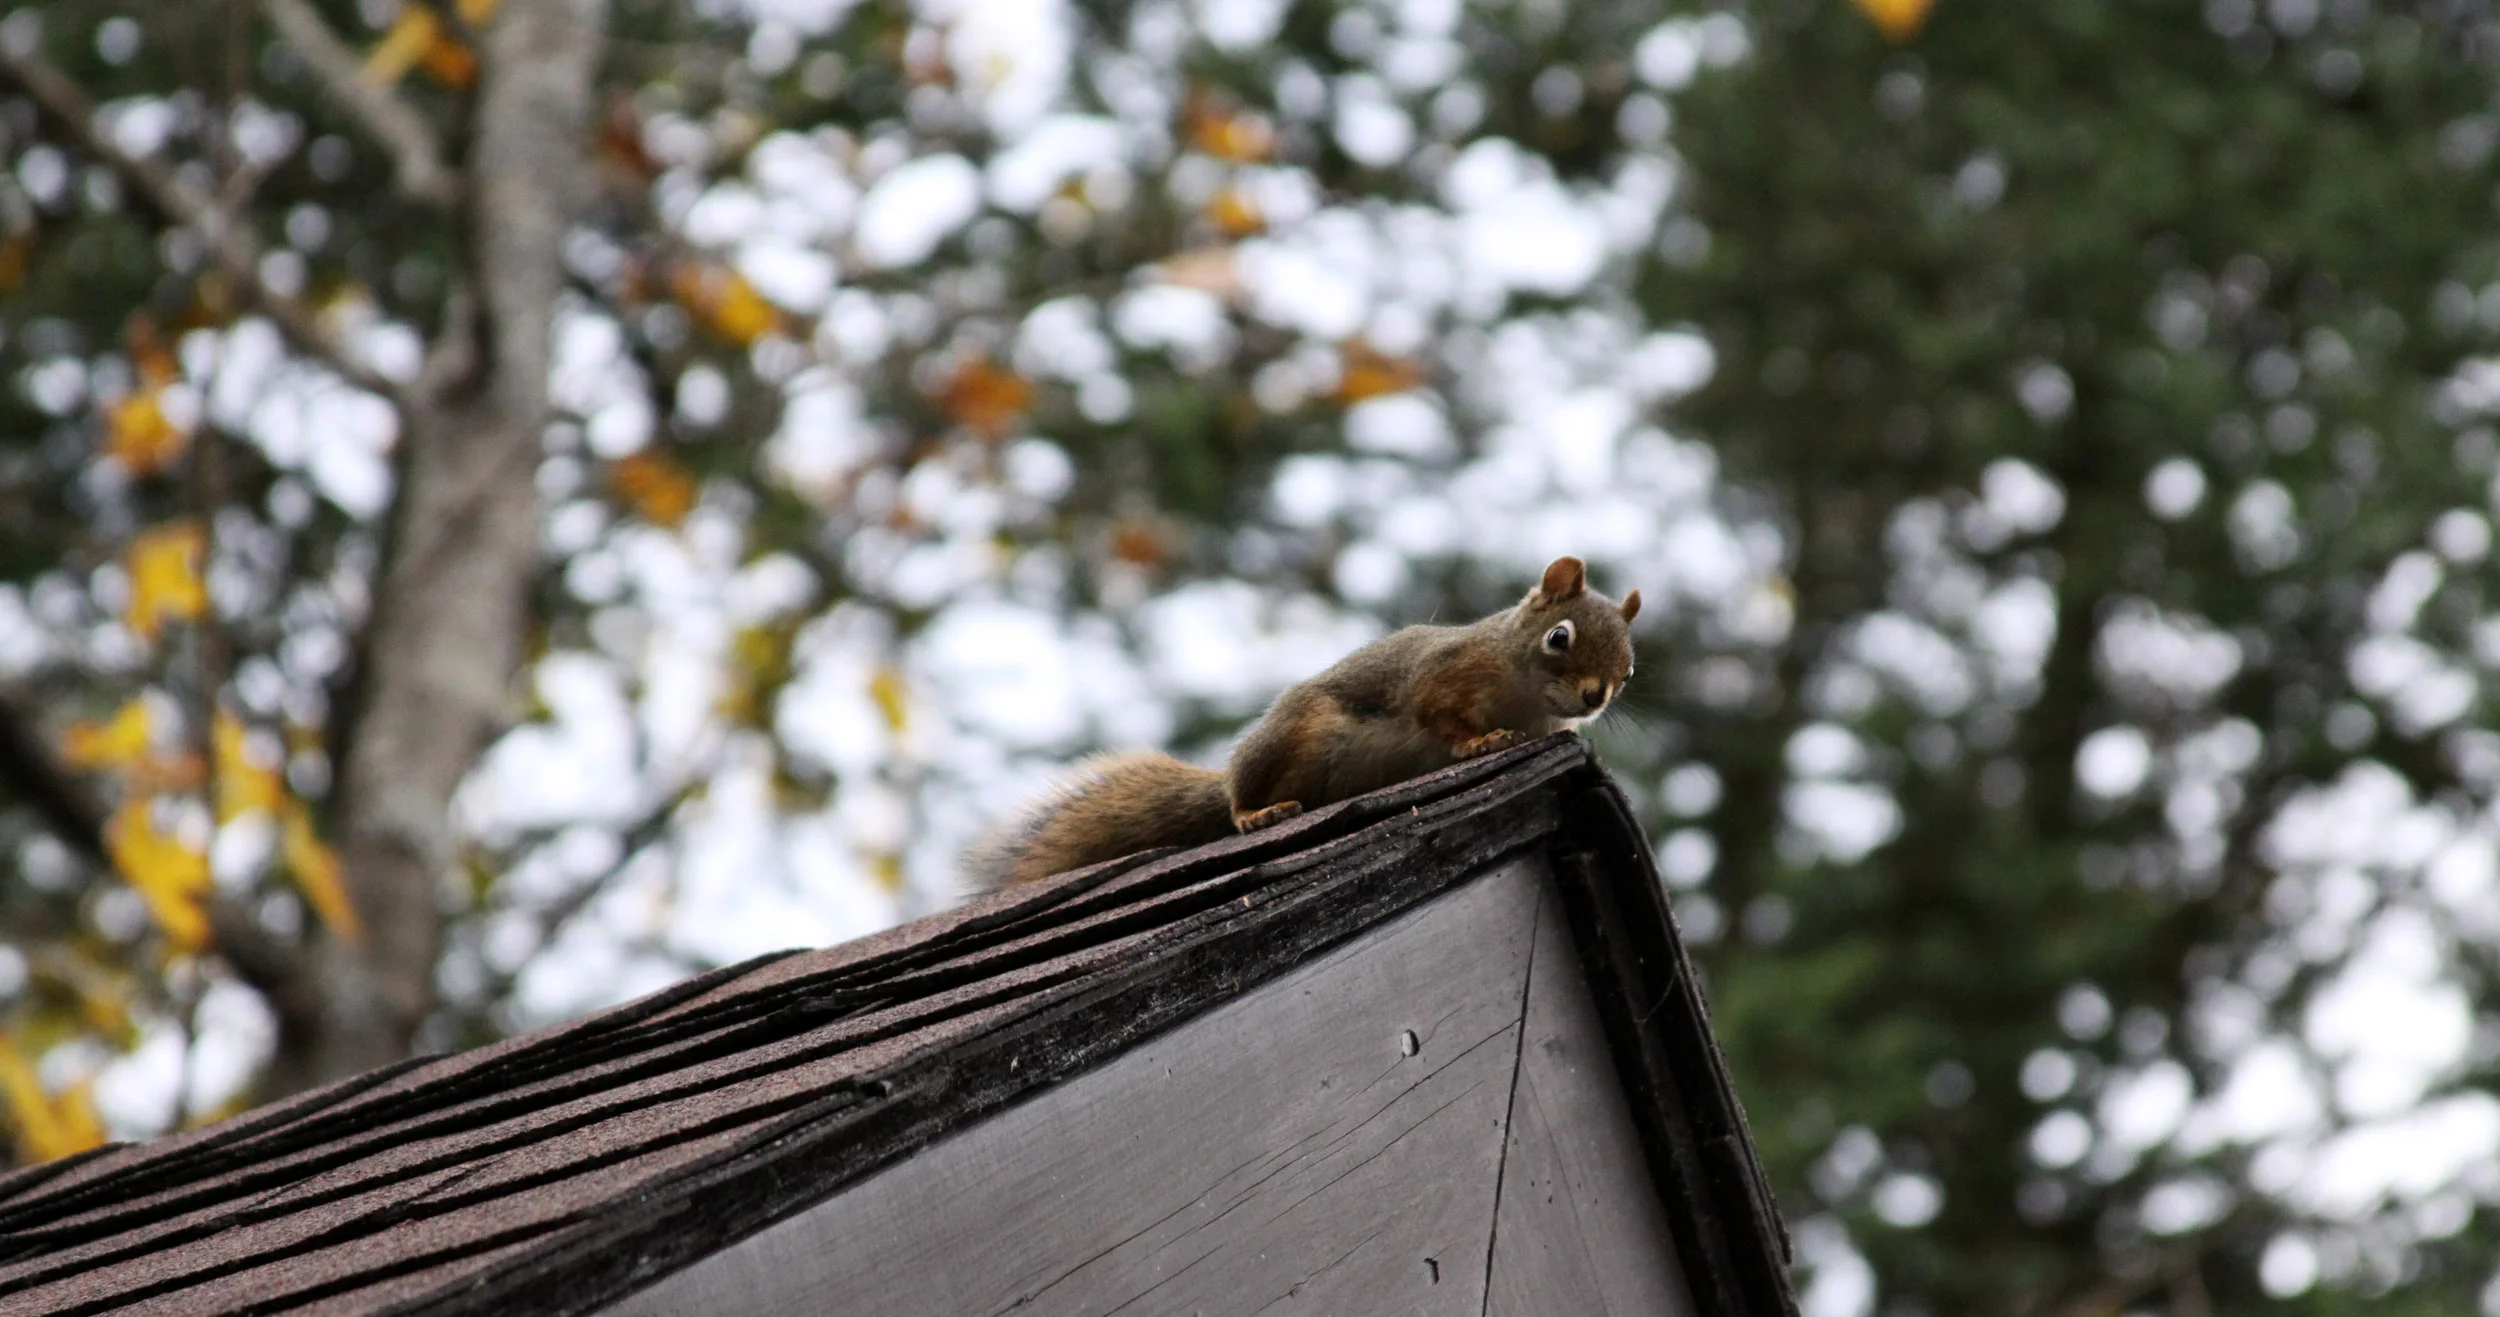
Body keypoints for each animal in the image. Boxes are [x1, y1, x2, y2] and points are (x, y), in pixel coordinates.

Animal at [971, 556, 1641, 888]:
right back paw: (1255, 813)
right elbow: (1436, 716)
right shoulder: (1440, 675)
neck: (1526, 698)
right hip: (1290, 739)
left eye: (1628, 671)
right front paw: (1480, 741)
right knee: (1240, 799)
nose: (1593, 696)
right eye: (1560, 637)